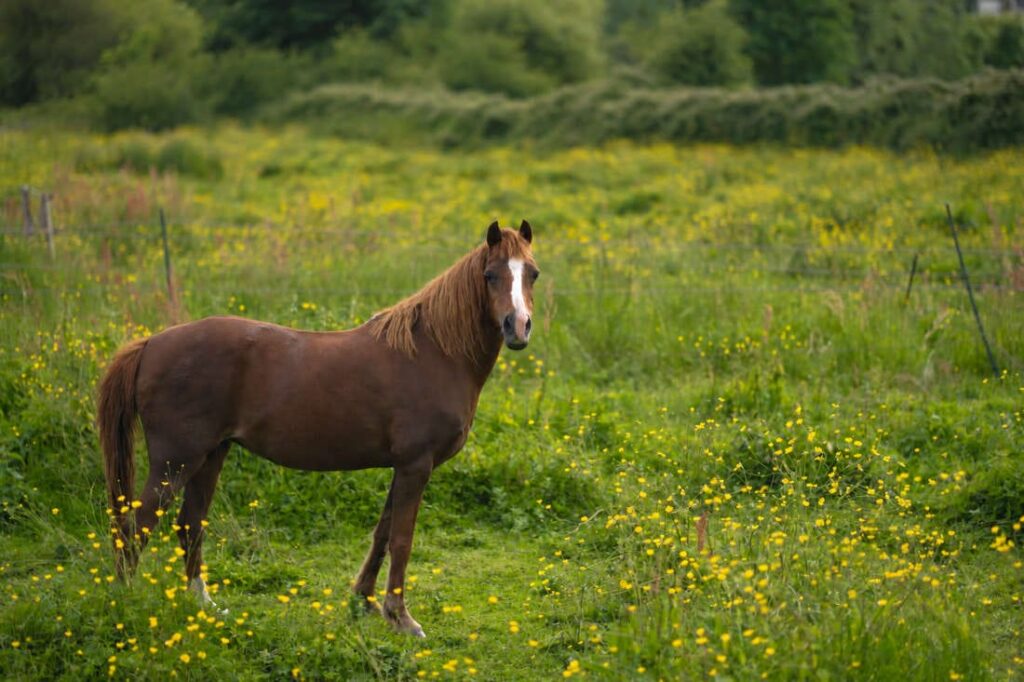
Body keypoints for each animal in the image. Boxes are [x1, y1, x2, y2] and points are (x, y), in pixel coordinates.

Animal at [97, 221, 538, 638]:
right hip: (176, 462)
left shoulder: (401, 467)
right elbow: (402, 539)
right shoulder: (416, 465)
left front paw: (365, 602)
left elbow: (382, 533)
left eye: (532, 273)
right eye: (490, 275)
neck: (433, 352)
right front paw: (402, 618)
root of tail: (151, 344)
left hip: (209, 456)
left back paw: (203, 604)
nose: (517, 327)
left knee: (189, 524)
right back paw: (124, 603)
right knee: (136, 526)